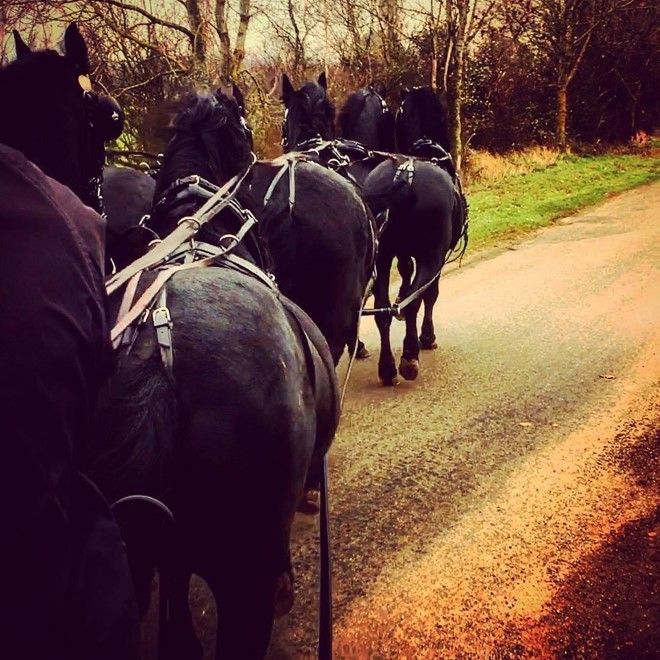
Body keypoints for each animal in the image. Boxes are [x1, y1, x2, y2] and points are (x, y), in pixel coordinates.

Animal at [282, 79, 466, 384]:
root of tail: (405, 173)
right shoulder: (435, 257)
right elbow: (429, 294)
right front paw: (427, 337)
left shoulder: (395, 254)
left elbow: (403, 279)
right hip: (428, 256)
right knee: (412, 301)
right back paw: (408, 356)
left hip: (380, 257)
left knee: (382, 311)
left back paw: (385, 365)